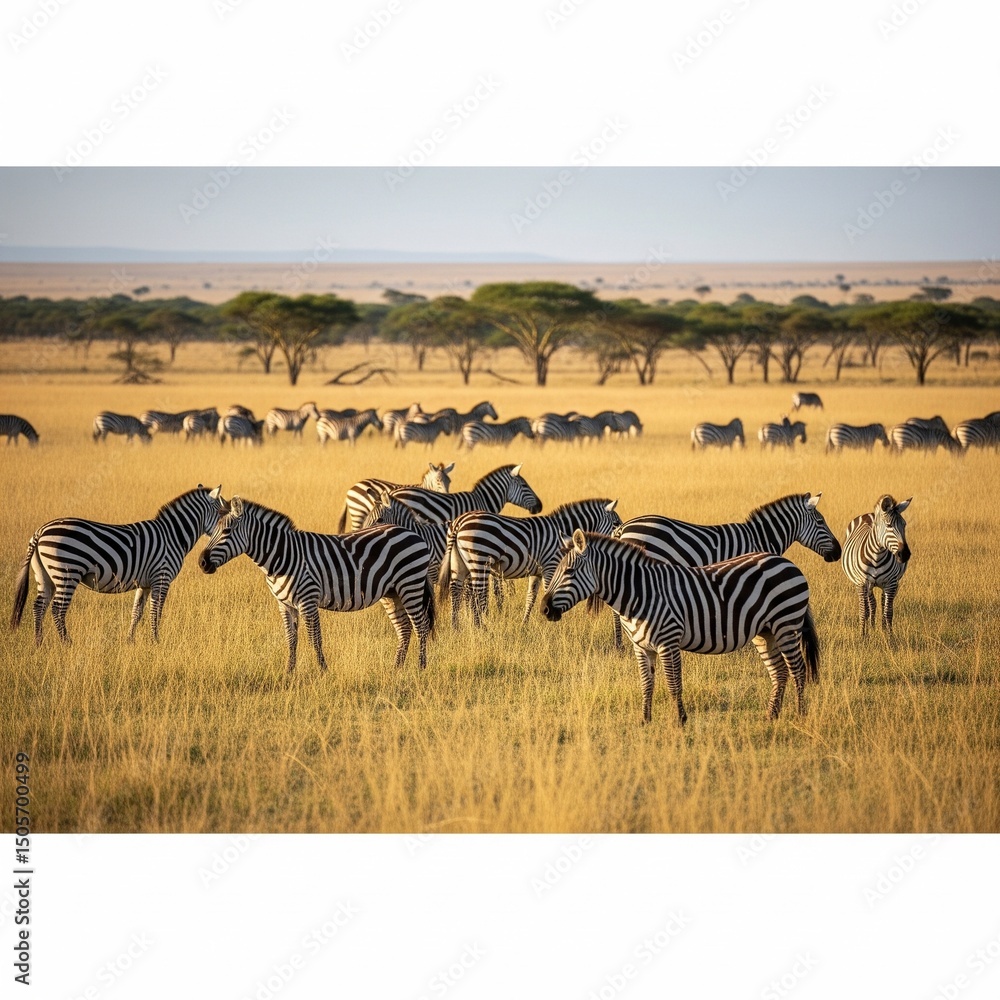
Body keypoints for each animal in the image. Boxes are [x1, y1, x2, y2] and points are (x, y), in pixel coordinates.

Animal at [11, 485, 225, 645]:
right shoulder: (162, 578)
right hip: (67, 572)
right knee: (57, 609)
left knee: (39, 606)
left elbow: (137, 612)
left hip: (45, 575)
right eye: (224, 514)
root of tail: (40, 532)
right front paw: (156, 641)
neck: (173, 536)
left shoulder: (145, 583)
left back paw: (38, 643)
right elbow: (156, 612)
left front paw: (130, 641)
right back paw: (66, 643)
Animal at [198, 497, 436, 673]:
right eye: (212, 531)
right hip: (391, 593)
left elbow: (314, 639)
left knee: (421, 625)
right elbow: (291, 639)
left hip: (410, 584)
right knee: (404, 628)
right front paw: (289, 672)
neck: (282, 556)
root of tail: (412, 533)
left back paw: (420, 668)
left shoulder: (307, 600)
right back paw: (396, 669)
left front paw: (323, 671)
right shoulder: (284, 605)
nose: (202, 562)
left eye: (227, 531)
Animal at [437, 498, 622, 628]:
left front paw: (524, 624)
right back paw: (483, 626)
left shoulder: (536, 572)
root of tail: (459, 522)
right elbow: (548, 592)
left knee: (456, 590)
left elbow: (530, 598)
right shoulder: (550, 566)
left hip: (459, 563)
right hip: (479, 560)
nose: (620, 543)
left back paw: (457, 627)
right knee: (479, 593)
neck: (563, 531)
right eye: (616, 523)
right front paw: (553, 625)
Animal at [540, 532, 819, 725]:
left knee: (798, 669)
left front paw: (680, 721)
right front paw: (645, 721)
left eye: (569, 571)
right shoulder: (641, 647)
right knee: (779, 672)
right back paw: (771, 716)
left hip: (786, 625)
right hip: (765, 632)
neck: (640, 593)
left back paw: (801, 715)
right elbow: (646, 684)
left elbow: (674, 685)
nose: (544, 609)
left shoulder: (668, 642)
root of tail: (785, 561)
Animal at [842, 495, 912, 634]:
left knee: (882, 603)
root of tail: (869, 514)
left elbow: (888, 612)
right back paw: (871, 627)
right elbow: (863, 611)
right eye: (889, 525)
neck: (877, 556)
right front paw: (863, 635)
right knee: (871, 604)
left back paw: (881, 628)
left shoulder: (891, 583)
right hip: (866, 584)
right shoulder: (862, 583)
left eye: (904, 525)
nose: (905, 555)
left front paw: (889, 636)